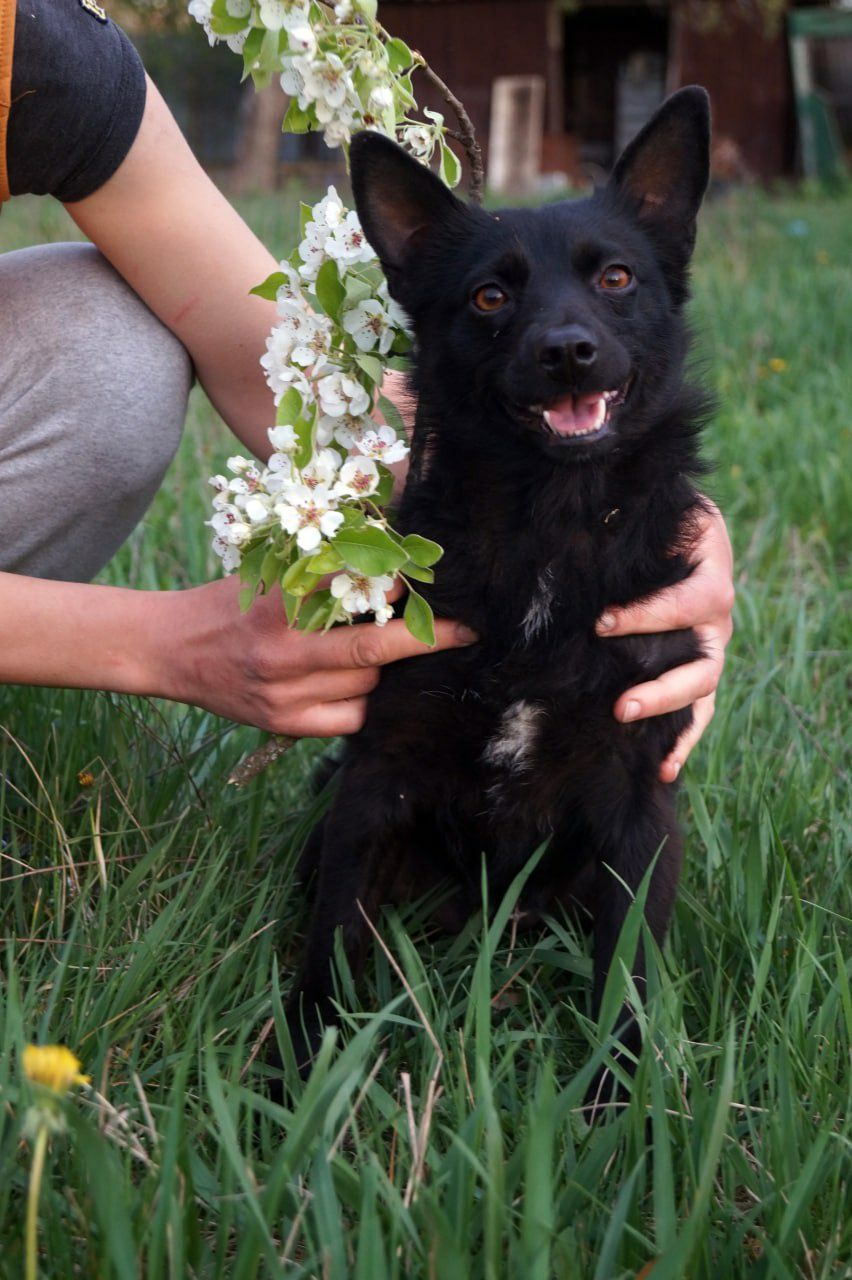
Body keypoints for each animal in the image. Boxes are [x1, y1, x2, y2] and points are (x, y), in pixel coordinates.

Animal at [284, 87, 711, 1100]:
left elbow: (624, 979)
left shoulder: (638, 803)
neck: (547, 531)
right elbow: (329, 945)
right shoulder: (374, 780)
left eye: (617, 279)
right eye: (490, 295)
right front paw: (298, 1083)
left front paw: (620, 1104)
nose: (569, 352)